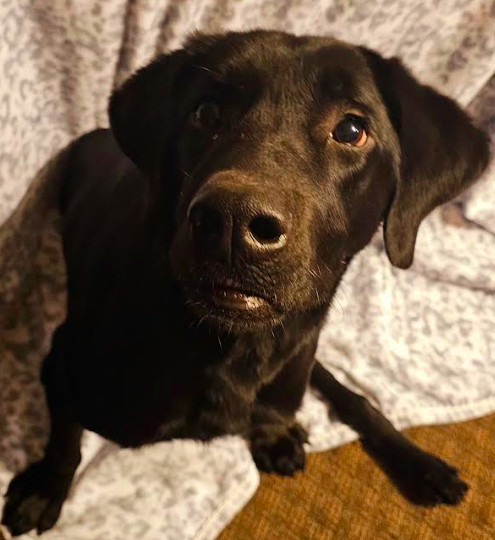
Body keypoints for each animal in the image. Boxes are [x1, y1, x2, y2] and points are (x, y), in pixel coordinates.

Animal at [1, 30, 490, 536]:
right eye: (205, 113)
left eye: (352, 130)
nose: (233, 222)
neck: (233, 346)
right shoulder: (63, 360)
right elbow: (65, 439)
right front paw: (43, 489)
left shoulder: (294, 351)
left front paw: (274, 434)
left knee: (348, 394)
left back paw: (423, 465)